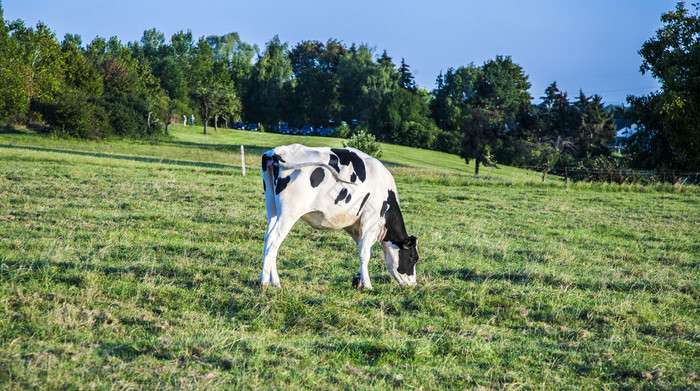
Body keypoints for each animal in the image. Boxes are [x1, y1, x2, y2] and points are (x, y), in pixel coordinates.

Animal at [260, 144, 418, 290]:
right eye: (413, 258)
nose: (413, 284)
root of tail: (277, 151)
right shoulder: (370, 222)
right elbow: (365, 253)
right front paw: (367, 285)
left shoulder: (356, 226)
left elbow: (364, 250)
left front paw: (358, 279)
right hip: (289, 214)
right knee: (274, 240)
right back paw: (264, 281)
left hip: (272, 208)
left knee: (268, 238)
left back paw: (274, 281)